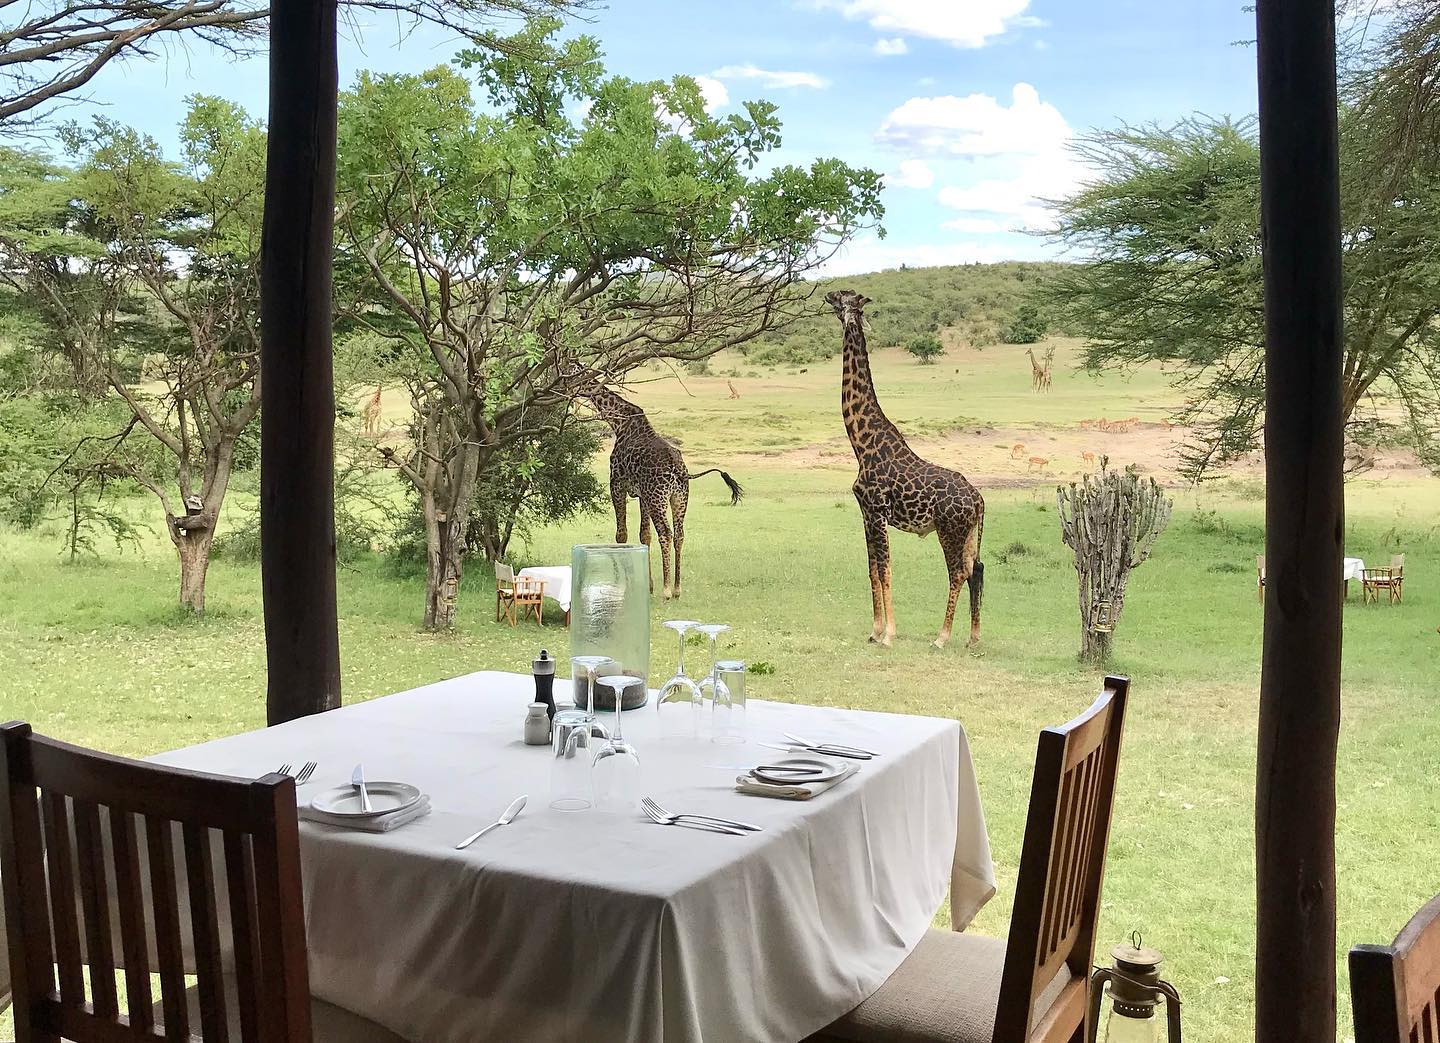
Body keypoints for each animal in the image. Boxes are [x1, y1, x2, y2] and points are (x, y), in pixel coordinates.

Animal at [578, 379, 743, 599]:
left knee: (665, 532)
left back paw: (666, 590)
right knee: (679, 534)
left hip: (658, 497)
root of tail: (678, 469)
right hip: (678, 497)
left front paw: (624, 583)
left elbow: (621, 534)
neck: (619, 422)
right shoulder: (642, 494)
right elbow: (644, 535)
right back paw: (677, 588)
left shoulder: (617, 484)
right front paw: (648, 586)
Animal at [827, 289, 985, 649]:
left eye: (843, 297)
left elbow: (886, 569)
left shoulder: (877, 511)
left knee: (958, 572)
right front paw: (874, 631)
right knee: (977, 569)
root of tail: (979, 501)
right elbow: (872, 569)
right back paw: (973, 638)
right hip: (970, 532)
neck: (861, 443)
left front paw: (888, 634)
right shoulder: (866, 513)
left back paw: (942, 637)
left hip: (949, 529)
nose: (826, 293)